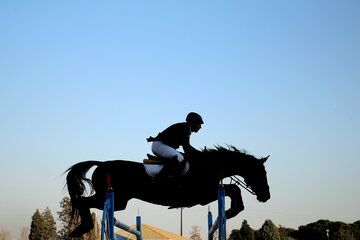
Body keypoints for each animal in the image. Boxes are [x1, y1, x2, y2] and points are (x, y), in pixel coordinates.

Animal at [67, 145, 270, 237]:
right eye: (261, 173)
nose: (266, 196)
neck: (207, 167)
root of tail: (101, 164)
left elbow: (233, 189)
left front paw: (231, 211)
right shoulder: (203, 194)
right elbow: (233, 188)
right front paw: (231, 210)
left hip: (118, 201)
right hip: (114, 199)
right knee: (82, 202)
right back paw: (82, 228)